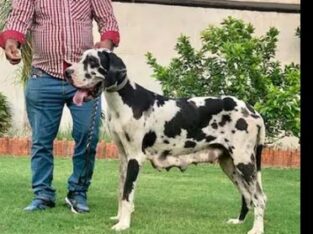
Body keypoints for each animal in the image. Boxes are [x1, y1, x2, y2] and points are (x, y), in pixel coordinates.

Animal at [64, 48, 266, 233]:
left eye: (92, 61)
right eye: (81, 58)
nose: (67, 72)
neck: (125, 101)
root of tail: (252, 110)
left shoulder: (135, 158)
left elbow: (128, 194)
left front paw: (123, 224)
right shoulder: (123, 158)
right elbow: (121, 192)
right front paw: (119, 218)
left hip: (244, 163)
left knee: (259, 198)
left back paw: (257, 229)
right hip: (230, 165)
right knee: (247, 196)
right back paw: (238, 221)